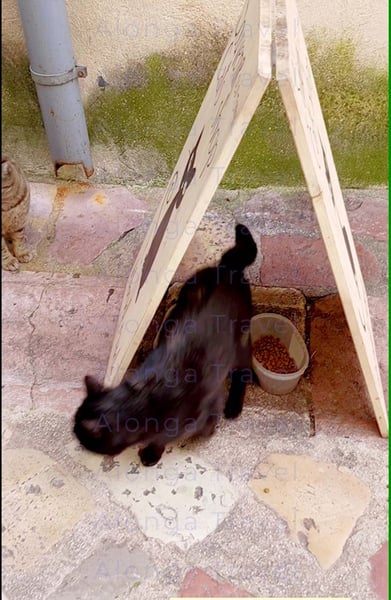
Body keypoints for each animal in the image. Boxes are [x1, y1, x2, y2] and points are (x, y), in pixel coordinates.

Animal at [73, 223, 258, 466]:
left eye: (80, 436)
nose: (74, 435)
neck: (141, 402)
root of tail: (228, 269)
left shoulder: (206, 407)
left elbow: (168, 437)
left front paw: (154, 453)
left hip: (240, 345)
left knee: (243, 370)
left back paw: (234, 406)